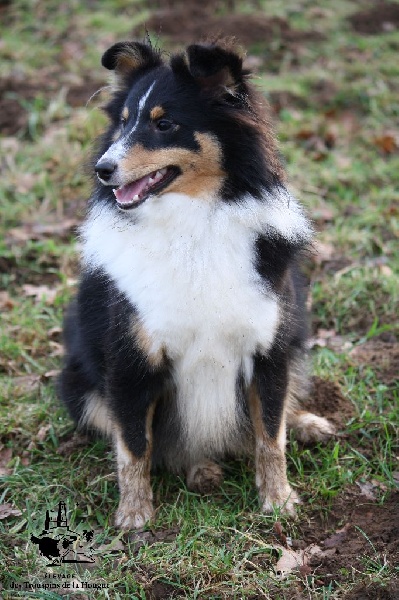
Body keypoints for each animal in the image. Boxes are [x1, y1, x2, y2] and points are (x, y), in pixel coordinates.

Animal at [59, 41, 334, 528]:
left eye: (164, 123)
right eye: (124, 120)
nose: (102, 169)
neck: (193, 225)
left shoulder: (269, 350)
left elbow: (270, 434)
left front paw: (279, 501)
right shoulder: (131, 360)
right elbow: (134, 446)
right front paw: (134, 517)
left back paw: (307, 423)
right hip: (80, 387)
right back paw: (201, 469)